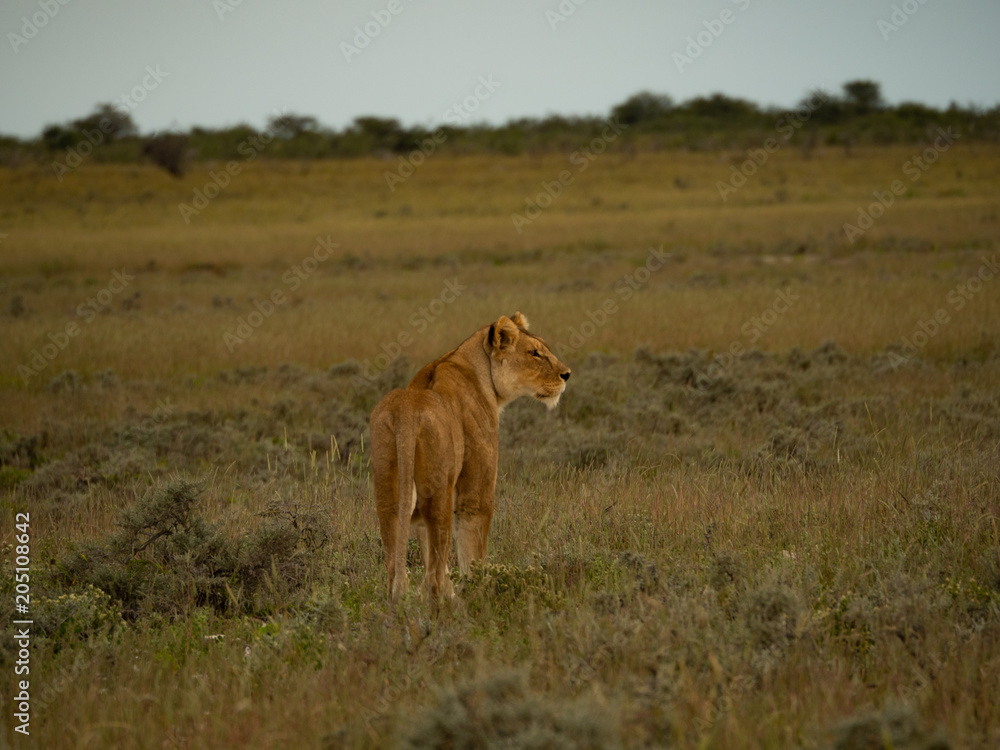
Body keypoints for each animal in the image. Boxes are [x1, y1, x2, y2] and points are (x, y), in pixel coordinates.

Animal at [370, 312, 571, 603]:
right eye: (534, 353)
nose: (567, 374)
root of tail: (406, 411)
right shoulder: (477, 493)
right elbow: (473, 553)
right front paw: (477, 592)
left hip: (389, 496)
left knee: (394, 568)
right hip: (439, 496)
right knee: (434, 576)